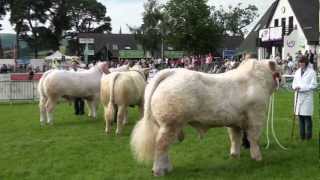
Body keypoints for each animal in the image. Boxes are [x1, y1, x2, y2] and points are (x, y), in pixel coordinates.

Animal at [130, 58, 280, 176]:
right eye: (279, 65)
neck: (258, 80)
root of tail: (172, 72)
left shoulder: (234, 122)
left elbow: (235, 137)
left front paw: (235, 156)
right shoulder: (257, 116)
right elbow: (254, 138)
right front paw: (257, 158)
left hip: (164, 125)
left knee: (164, 146)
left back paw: (167, 168)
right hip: (170, 124)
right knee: (161, 145)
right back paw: (159, 171)